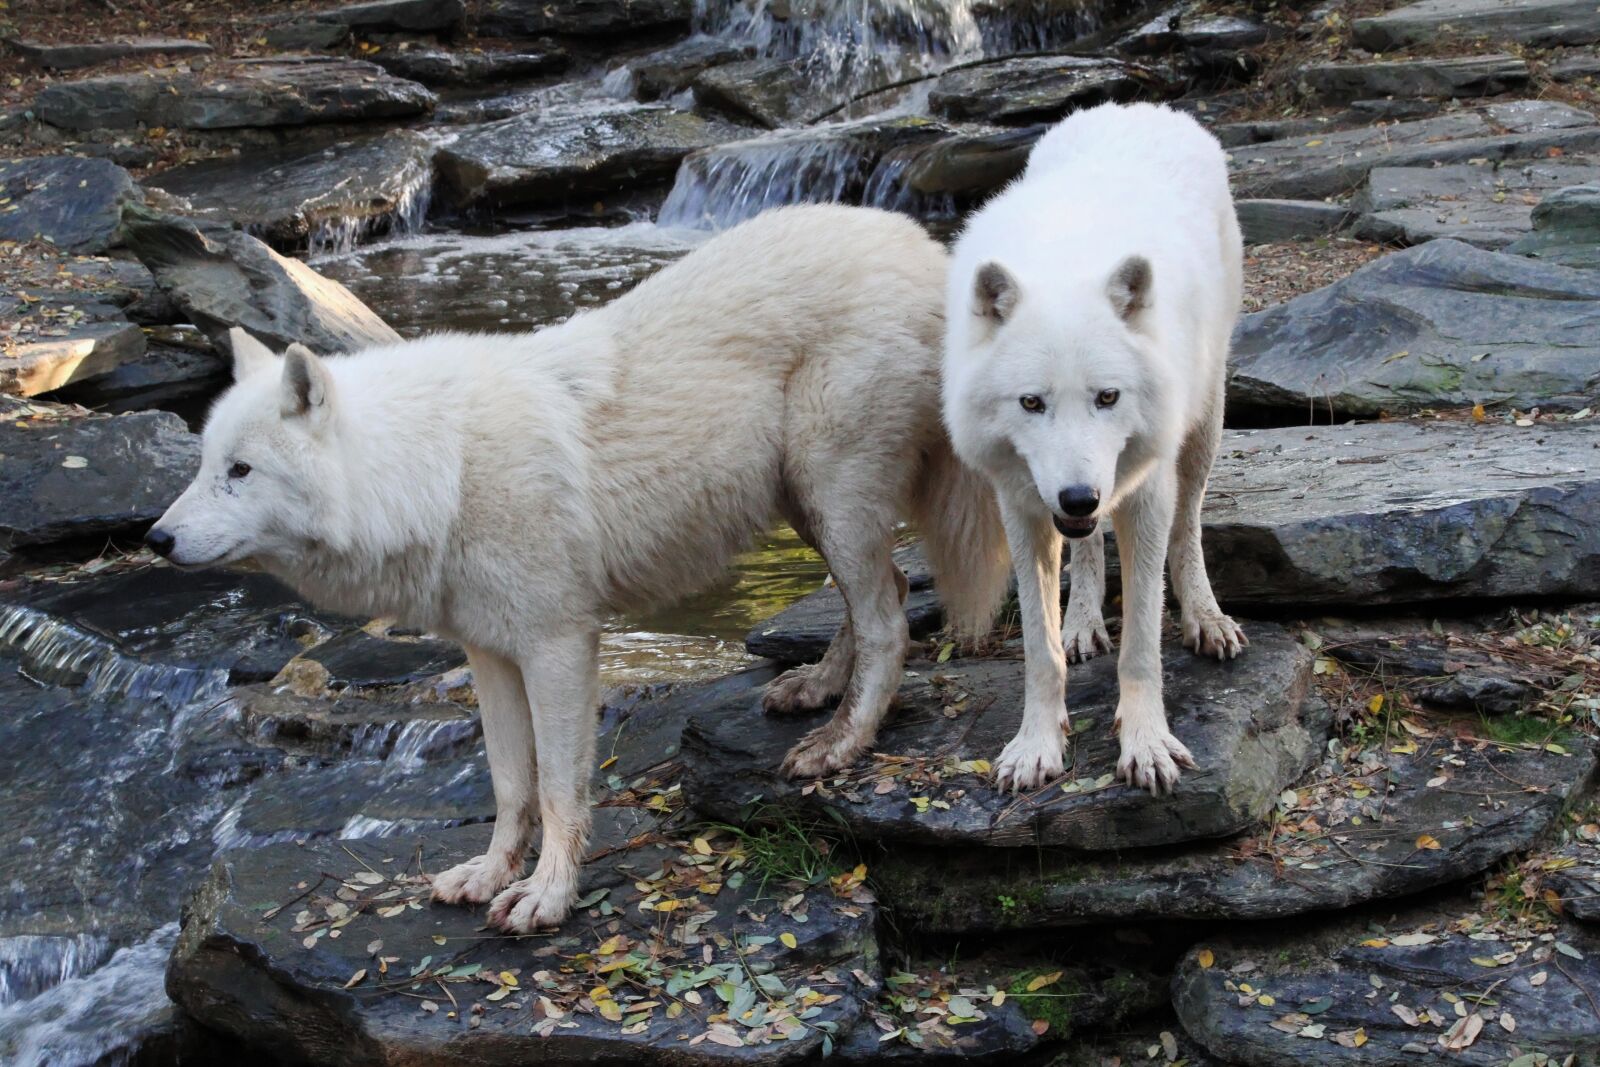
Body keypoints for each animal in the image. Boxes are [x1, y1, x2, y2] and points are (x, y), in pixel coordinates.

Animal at [147, 204, 1009, 931]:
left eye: (241, 471)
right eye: (205, 463)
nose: (156, 538)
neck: (437, 469)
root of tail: (925, 247)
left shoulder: (559, 646)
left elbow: (561, 787)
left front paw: (548, 895)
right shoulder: (489, 654)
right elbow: (509, 783)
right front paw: (491, 874)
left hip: (833, 489)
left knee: (889, 620)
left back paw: (842, 742)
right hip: (806, 498)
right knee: (882, 593)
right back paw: (817, 688)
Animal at [942, 102, 1247, 795]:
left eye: (1108, 397)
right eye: (1032, 403)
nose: (1079, 496)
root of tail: (1139, 105)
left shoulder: (1146, 494)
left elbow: (1142, 644)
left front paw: (1147, 744)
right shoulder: (1023, 506)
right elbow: (1039, 647)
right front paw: (1035, 745)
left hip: (1202, 424)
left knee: (1190, 524)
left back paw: (1205, 615)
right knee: (1085, 554)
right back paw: (1083, 620)